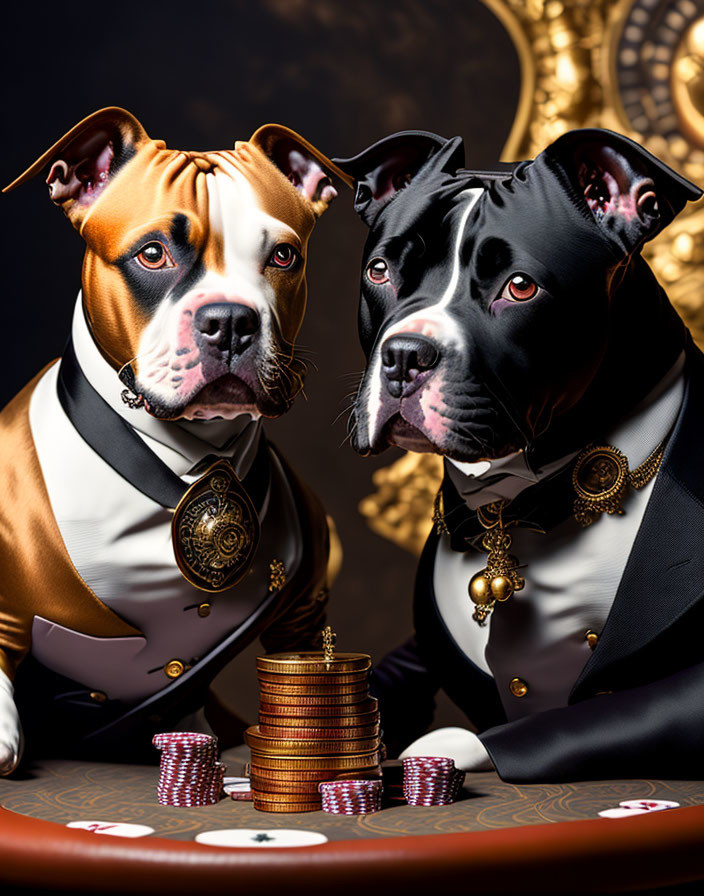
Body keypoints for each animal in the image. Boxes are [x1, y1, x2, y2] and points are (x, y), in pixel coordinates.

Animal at [334, 130, 704, 780]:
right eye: (380, 271)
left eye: (520, 286)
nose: (405, 354)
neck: (524, 503)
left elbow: (584, 716)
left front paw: (435, 749)